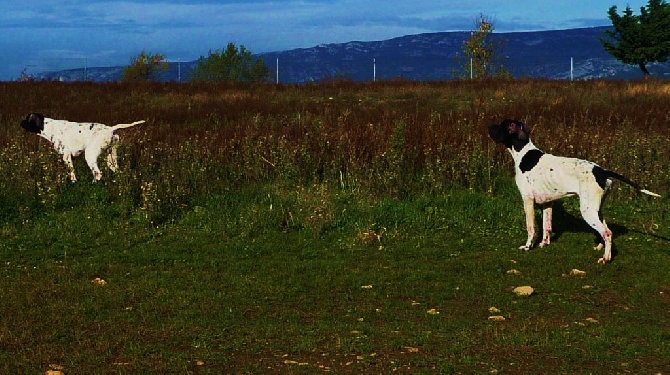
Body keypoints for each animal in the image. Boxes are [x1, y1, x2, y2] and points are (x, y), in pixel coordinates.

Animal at [490, 119, 664, 262]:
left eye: (501, 125)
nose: (489, 126)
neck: (524, 154)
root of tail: (602, 171)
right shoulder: (548, 203)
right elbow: (547, 227)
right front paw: (544, 244)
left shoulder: (528, 200)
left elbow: (531, 228)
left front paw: (527, 246)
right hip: (596, 209)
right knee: (604, 230)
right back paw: (600, 248)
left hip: (587, 210)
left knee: (607, 233)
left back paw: (606, 258)